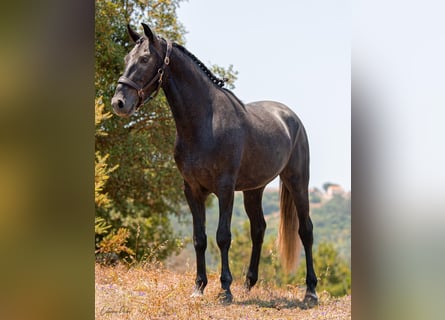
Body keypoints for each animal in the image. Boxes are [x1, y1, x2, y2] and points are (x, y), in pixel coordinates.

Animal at [112, 23, 318, 304]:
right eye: (126, 59)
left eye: (144, 59)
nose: (119, 103)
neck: (205, 122)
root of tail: (289, 116)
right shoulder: (192, 190)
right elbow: (199, 238)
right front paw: (199, 287)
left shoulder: (224, 189)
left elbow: (223, 236)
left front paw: (225, 290)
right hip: (254, 189)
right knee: (258, 229)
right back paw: (248, 285)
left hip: (297, 181)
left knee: (306, 231)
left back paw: (310, 292)